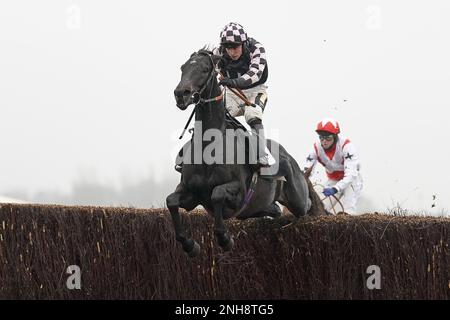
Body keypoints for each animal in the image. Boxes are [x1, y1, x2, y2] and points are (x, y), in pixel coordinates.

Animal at [167, 48, 322, 256]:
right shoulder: (191, 193)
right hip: (261, 206)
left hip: (297, 198)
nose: (180, 94)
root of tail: (289, 158)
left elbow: (217, 194)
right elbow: (171, 201)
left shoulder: (238, 192)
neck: (209, 145)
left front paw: (225, 239)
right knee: (275, 209)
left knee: (306, 205)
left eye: (205, 69)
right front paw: (190, 245)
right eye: (182, 68)